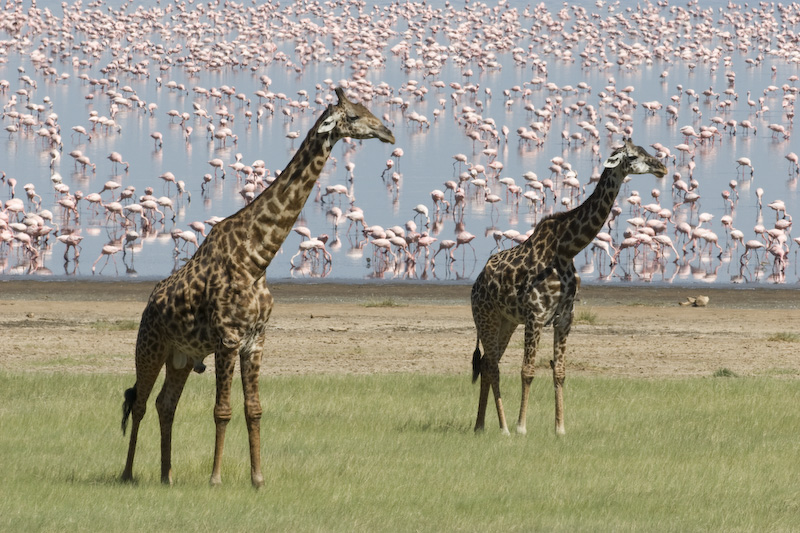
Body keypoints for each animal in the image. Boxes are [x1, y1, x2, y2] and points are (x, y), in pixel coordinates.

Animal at [120, 88, 392, 486]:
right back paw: (127, 473)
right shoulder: (227, 339)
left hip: (181, 356)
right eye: (354, 116)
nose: (388, 132)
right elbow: (222, 410)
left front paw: (258, 479)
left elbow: (254, 409)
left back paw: (167, 476)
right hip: (150, 346)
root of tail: (149, 304)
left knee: (164, 403)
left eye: (368, 108)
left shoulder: (256, 339)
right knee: (138, 403)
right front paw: (216, 478)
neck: (256, 258)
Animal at [472, 139, 664, 434]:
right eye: (632, 157)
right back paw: (503, 428)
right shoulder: (536, 315)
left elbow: (559, 372)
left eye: (646, 151)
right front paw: (521, 427)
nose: (662, 167)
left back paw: (480, 426)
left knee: (485, 362)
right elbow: (527, 371)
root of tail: (476, 284)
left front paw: (560, 429)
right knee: (492, 365)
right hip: (486, 317)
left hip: (507, 321)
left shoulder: (564, 318)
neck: (567, 249)